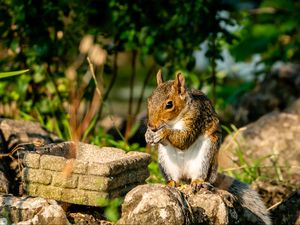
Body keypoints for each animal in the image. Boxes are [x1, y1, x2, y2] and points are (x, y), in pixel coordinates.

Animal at [145, 70, 272, 225]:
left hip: (205, 157)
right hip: (166, 161)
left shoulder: (196, 118)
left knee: (200, 176)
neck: (175, 121)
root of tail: (186, 177)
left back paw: (198, 182)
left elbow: (184, 139)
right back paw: (171, 183)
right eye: (149, 100)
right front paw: (148, 135)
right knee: (174, 178)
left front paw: (163, 132)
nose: (152, 125)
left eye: (169, 104)